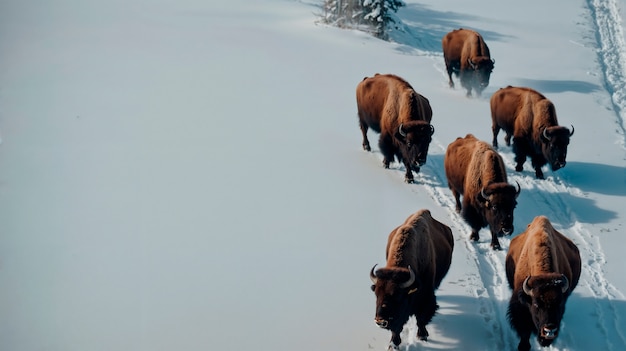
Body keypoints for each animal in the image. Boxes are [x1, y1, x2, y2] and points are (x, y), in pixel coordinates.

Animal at [368, 209, 450, 350]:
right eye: (376, 293)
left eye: (396, 295)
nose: (380, 321)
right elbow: (396, 328)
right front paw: (393, 345)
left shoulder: (425, 297)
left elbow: (421, 318)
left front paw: (422, 336)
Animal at [502, 214, 580, 351]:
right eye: (536, 304)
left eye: (559, 304)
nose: (549, 330)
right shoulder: (520, 307)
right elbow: (524, 330)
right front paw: (523, 346)